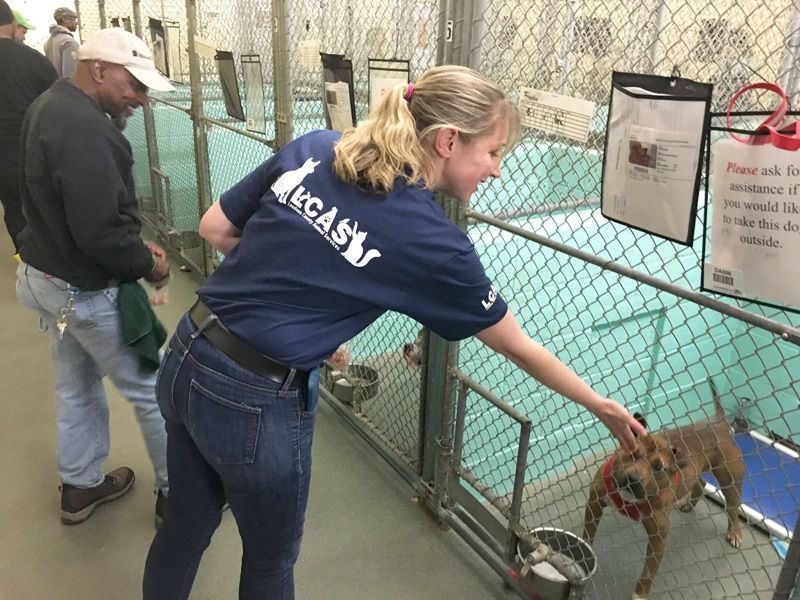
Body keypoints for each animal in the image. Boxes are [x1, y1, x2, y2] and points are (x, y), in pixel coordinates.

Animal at [580, 382, 744, 596]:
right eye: (633, 453)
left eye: (658, 468)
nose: (633, 479)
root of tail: (718, 424)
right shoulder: (595, 503)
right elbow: (587, 535)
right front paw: (582, 552)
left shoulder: (659, 538)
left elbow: (648, 573)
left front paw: (639, 595)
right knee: (700, 484)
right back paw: (688, 505)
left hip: (730, 482)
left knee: (732, 508)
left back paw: (735, 533)